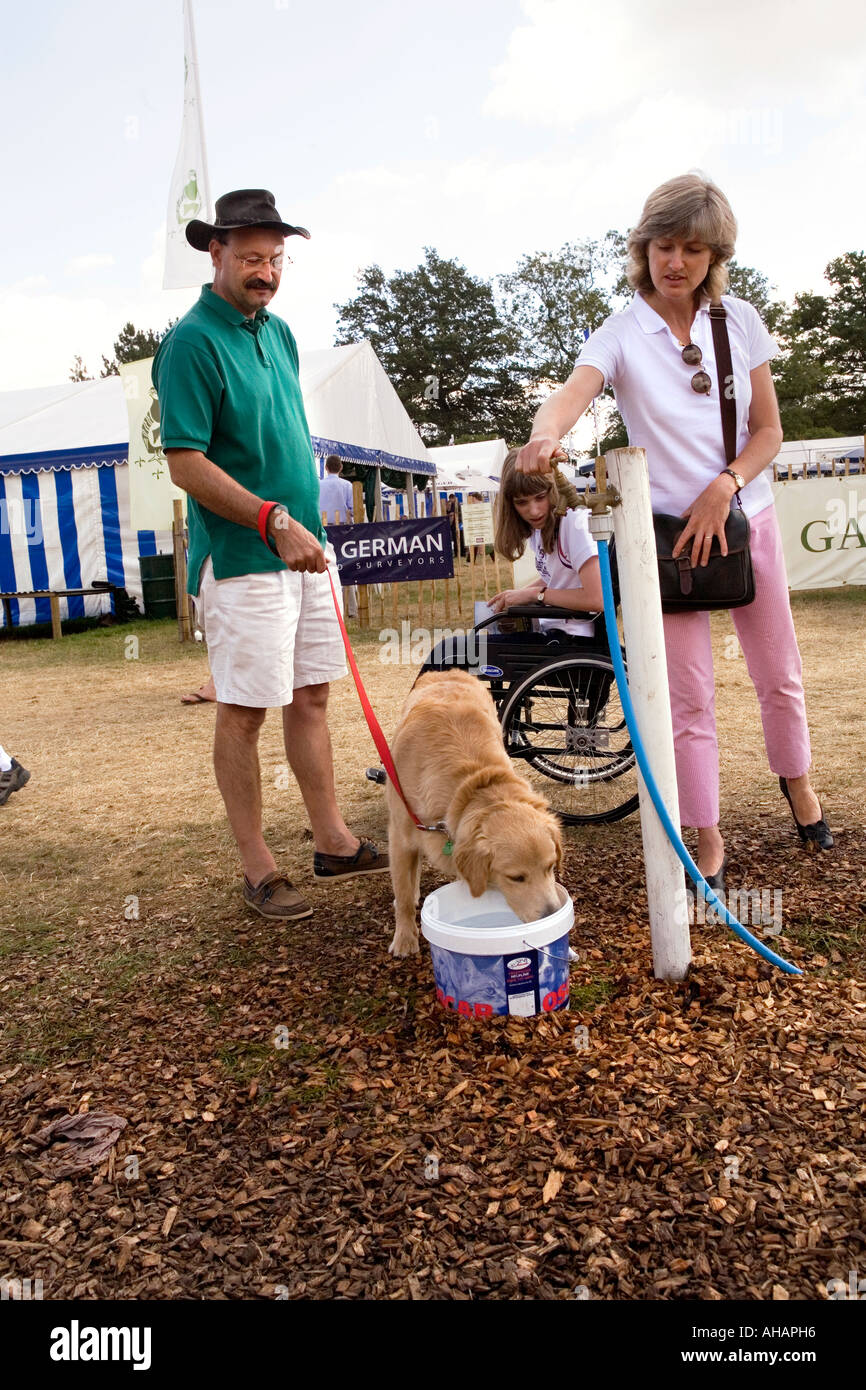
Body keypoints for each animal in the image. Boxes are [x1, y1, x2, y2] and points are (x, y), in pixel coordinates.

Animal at [383, 669, 561, 956]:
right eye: (516, 877)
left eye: (551, 866)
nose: (551, 914)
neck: (474, 782)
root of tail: (447, 671)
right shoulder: (400, 837)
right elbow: (403, 891)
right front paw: (404, 938)